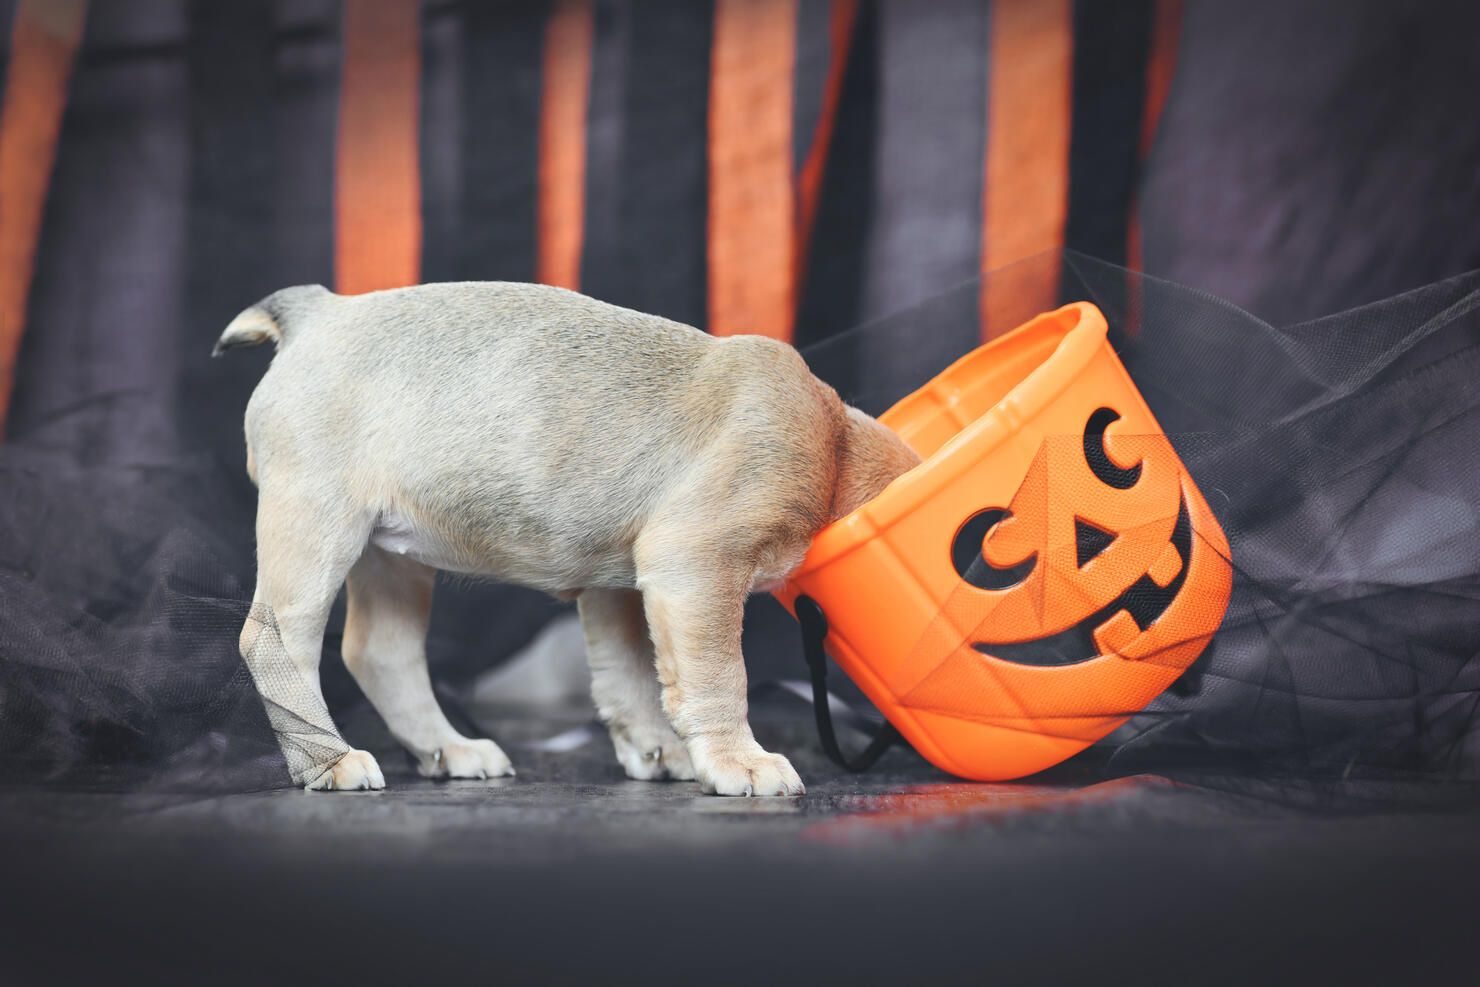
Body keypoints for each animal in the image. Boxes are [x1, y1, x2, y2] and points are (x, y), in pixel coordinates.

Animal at [216, 284, 917, 793]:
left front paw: (655, 749)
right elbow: (720, 676)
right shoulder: (698, 569)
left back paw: (449, 748)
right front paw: (737, 760)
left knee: (380, 651)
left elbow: (629, 675)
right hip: (316, 528)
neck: (836, 444)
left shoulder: (620, 589)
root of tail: (318, 312)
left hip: (389, 559)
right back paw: (328, 761)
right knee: (279, 643)